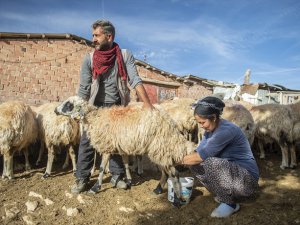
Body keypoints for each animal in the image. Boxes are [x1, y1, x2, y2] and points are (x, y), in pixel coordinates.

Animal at [54, 96, 195, 205]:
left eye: (68, 104)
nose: (55, 110)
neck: (95, 118)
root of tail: (170, 123)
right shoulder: (122, 147)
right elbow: (126, 164)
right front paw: (128, 181)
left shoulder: (107, 146)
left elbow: (101, 168)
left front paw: (95, 188)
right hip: (160, 150)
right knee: (166, 172)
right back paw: (158, 190)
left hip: (160, 147)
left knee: (174, 173)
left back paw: (178, 197)